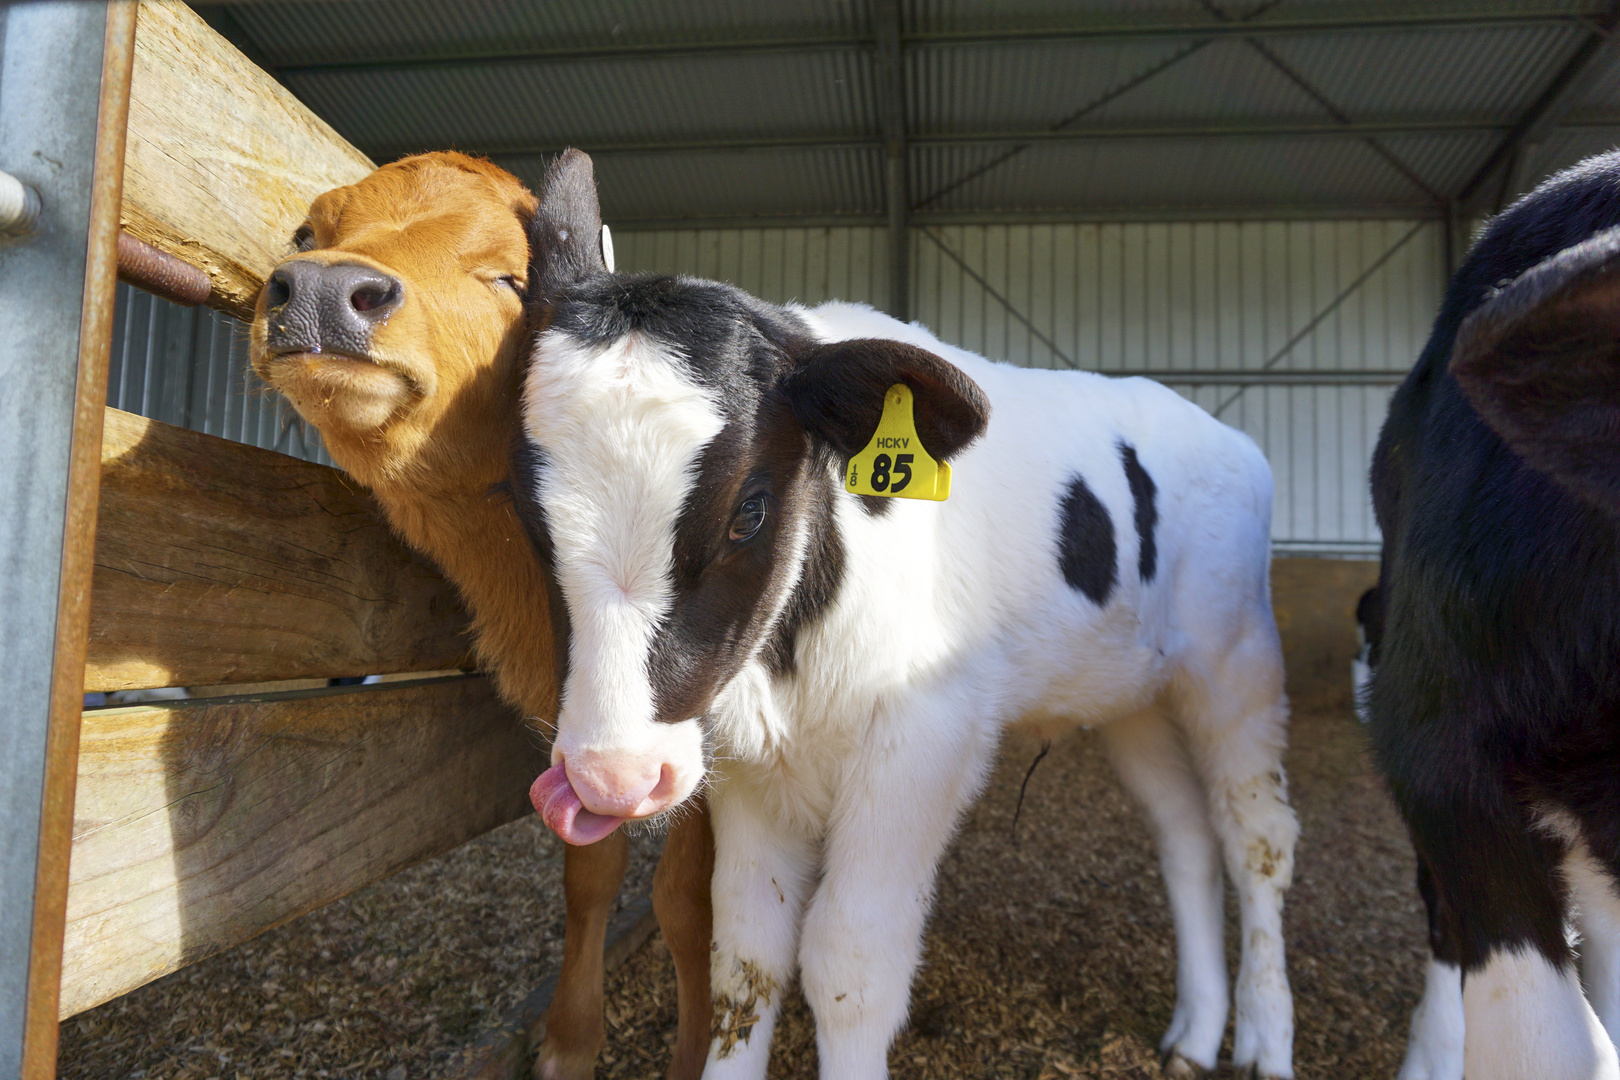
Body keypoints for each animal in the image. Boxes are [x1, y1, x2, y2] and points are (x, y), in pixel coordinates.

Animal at [244, 152, 709, 1080]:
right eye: (308, 235)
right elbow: (590, 876)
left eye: (510, 278)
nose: (322, 288)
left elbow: (689, 903)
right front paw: (570, 1039)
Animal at [511, 153, 1296, 1080]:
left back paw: (1266, 1040)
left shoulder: (926, 735)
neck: (789, 664)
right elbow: (746, 956)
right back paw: (1197, 1032)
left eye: (749, 511)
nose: (611, 777)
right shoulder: (750, 771)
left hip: (1236, 661)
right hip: (1130, 694)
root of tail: (1221, 432)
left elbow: (849, 962)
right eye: (525, 512)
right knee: (1186, 835)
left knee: (1257, 840)